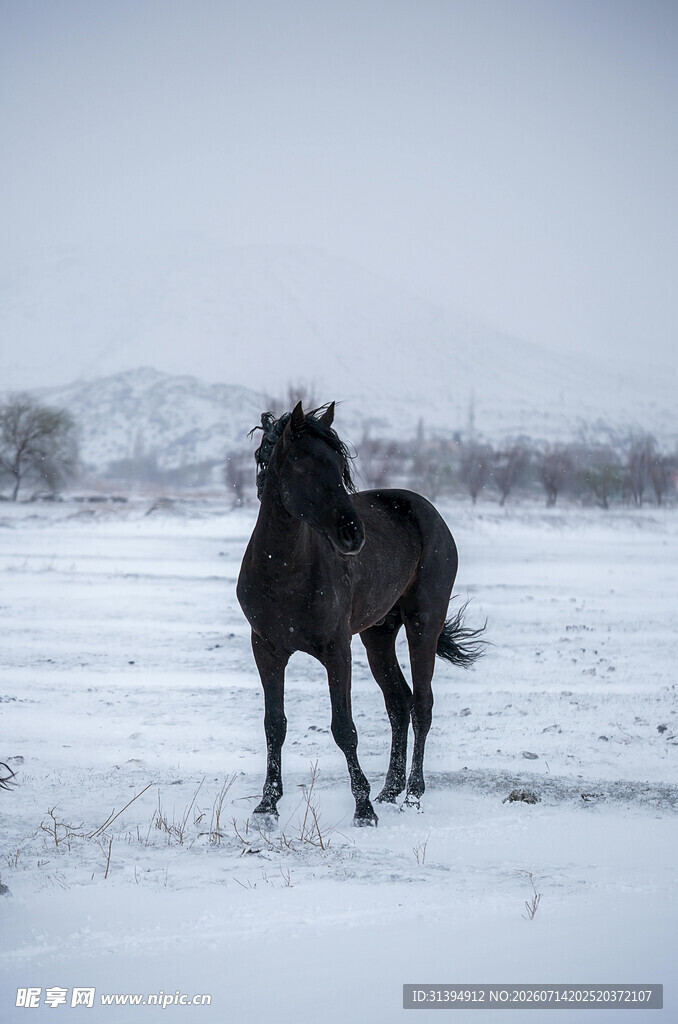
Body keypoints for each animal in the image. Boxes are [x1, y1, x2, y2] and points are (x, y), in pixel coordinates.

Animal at [236, 402, 484, 825]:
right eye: (303, 466)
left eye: (340, 466)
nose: (353, 536)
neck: (284, 571)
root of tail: (429, 512)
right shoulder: (266, 649)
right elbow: (275, 725)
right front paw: (267, 805)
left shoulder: (337, 651)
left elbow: (343, 728)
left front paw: (363, 809)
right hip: (378, 635)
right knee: (399, 703)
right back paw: (390, 789)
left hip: (423, 624)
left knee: (422, 704)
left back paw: (412, 794)